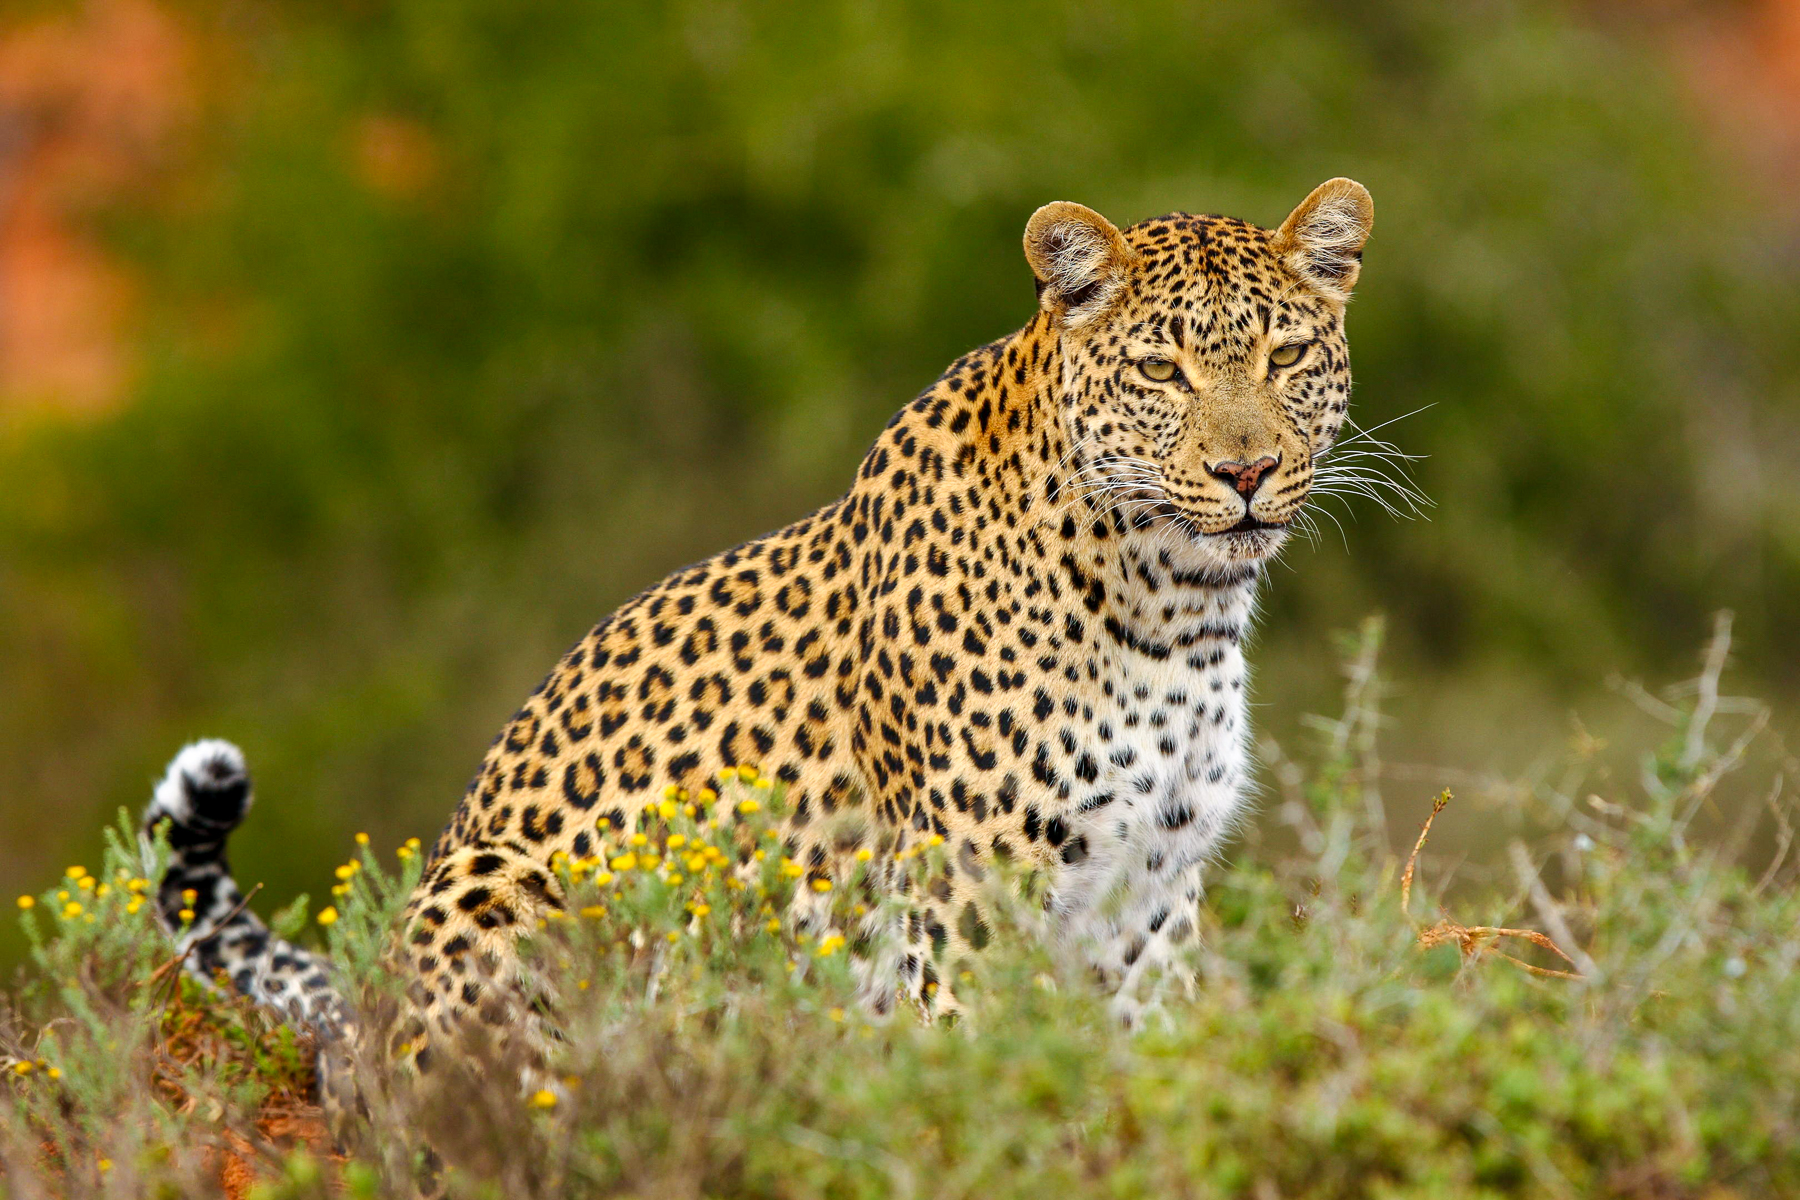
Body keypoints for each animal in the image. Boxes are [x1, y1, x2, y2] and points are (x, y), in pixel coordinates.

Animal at [145, 177, 1374, 1111]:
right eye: (1162, 371)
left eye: (1287, 356)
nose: (1247, 471)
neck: (1172, 606)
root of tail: (358, 1035)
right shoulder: (973, 890)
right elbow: (982, 1080)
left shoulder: (1149, 893)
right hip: (494, 885)